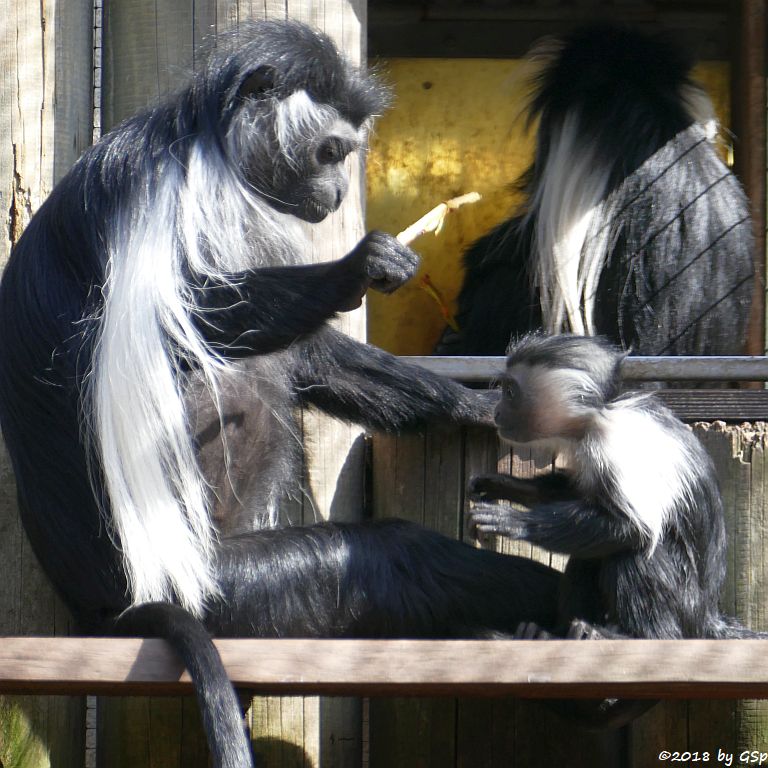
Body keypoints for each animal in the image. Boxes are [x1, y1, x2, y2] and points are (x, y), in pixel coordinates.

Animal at [0, 18, 560, 768]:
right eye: (330, 151)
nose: (335, 194)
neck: (206, 137)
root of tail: (105, 610)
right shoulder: (165, 189)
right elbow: (191, 316)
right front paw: (360, 266)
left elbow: (307, 354)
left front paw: (475, 404)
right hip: (220, 581)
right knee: (380, 554)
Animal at [468, 334, 760, 640]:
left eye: (510, 392)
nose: (496, 412)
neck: (600, 412)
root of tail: (708, 617)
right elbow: (577, 496)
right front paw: (501, 484)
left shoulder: (615, 444)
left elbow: (631, 526)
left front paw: (513, 521)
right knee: (589, 553)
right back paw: (551, 632)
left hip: (685, 604)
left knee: (635, 552)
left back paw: (631, 635)